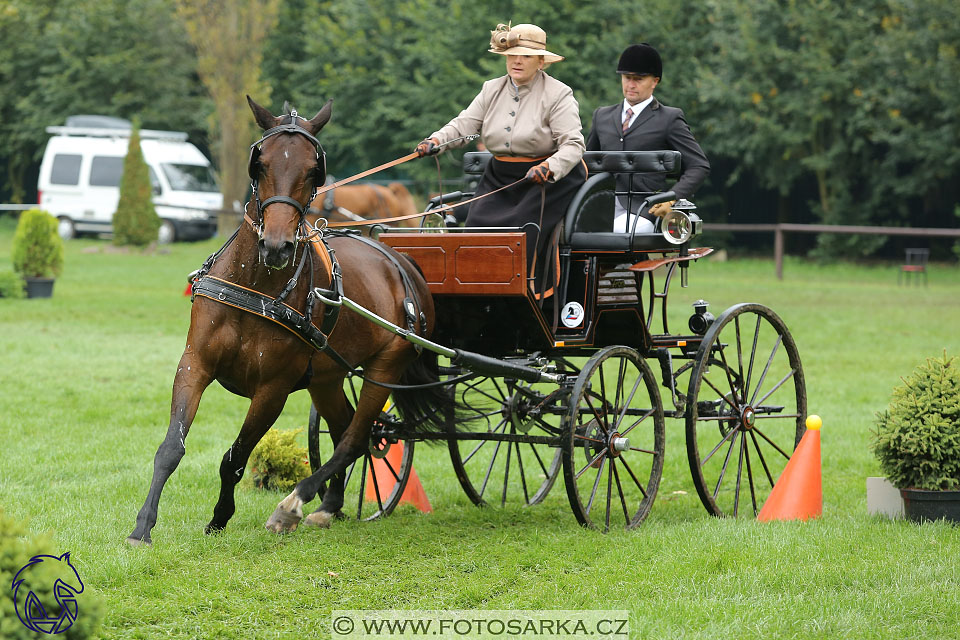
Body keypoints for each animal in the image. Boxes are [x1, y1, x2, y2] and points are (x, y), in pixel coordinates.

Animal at [126, 97, 450, 544]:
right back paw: (329, 506)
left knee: (357, 437)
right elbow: (171, 448)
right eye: (259, 163)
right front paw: (142, 526)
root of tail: (400, 261)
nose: (276, 246)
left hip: (385, 367)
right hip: (327, 378)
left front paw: (220, 517)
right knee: (345, 426)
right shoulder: (194, 364)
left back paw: (295, 504)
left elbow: (235, 457)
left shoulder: (272, 390)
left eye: (314, 169)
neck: (256, 288)